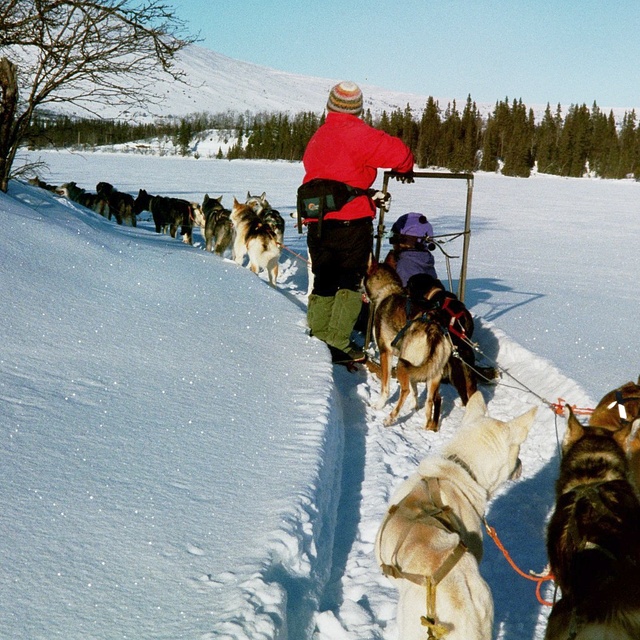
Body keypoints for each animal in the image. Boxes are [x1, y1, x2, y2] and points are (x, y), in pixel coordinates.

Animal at [368, 262, 452, 432]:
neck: (389, 290)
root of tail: (433, 330)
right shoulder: (415, 369)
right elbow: (415, 389)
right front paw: (414, 406)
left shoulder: (385, 353)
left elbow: (385, 386)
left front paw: (379, 405)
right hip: (432, 373)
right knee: (431, 400)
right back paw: (426, 426)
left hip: (402, 363)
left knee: (405, 390)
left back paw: (390, 418)